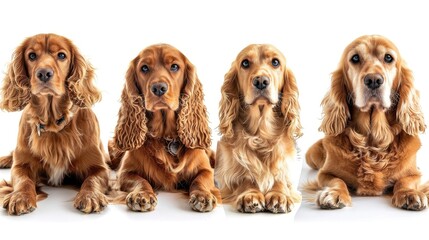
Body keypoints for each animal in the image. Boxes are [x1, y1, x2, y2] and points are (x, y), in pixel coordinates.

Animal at [0, 32, 109, 215]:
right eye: (31, 56)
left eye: (62, 55)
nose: (44, 73)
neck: (53, 123)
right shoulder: (21, 165)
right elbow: (23, 180)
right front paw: (20, 197)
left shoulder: (99, 167)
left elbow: (92, 180)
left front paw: (90, 196)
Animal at [108, 43, 219, 212]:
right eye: (144, 68)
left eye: (174, 66)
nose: (159, 88)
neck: (166, 136)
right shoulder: (125, 173)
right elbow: (140, 180)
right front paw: (142, 195)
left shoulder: (205, 169)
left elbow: (200, 179)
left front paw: (202, 195)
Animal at [214, 44, 300, 213]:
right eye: (245, 63)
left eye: (275, 62)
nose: (261, 81)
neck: (261, 133)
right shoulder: (229, 175)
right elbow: (246, 178)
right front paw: (250, 194)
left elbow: (280, 178)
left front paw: (279, 195)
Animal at [304, 34, 428, 210]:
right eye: (355, 58)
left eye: (388, 58)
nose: (373, 80)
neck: (372, 140)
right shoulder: (325, 173)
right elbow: (337, 180)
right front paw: (334, 193)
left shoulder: (414, 173)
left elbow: (405, 181)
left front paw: (409, 194)